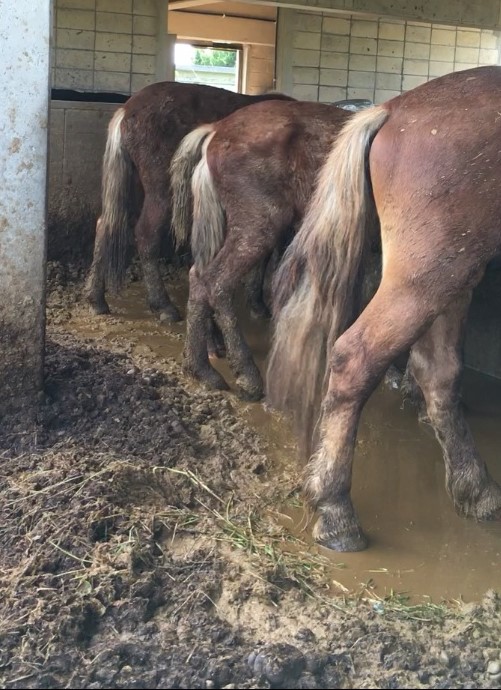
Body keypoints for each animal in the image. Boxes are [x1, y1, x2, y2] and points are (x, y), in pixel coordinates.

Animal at [83, 80, 292, 320]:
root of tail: (127, 110)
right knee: (146, 235)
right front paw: (258, 304)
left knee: (106, 225)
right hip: (162, 193)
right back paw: (163, 305)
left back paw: (97, 299)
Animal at [168, 97, 352, 398]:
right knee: (216, 282)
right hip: (257, 226)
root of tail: (215, 130)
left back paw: (201, 366)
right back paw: (244, 375)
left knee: (199, 275)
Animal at [266, 67, 500, 552]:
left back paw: (476, 490)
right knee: (356, 359)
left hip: (451, 271)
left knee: (439, 373)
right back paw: (335, 510)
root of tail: (392, 111)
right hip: (429, 274)